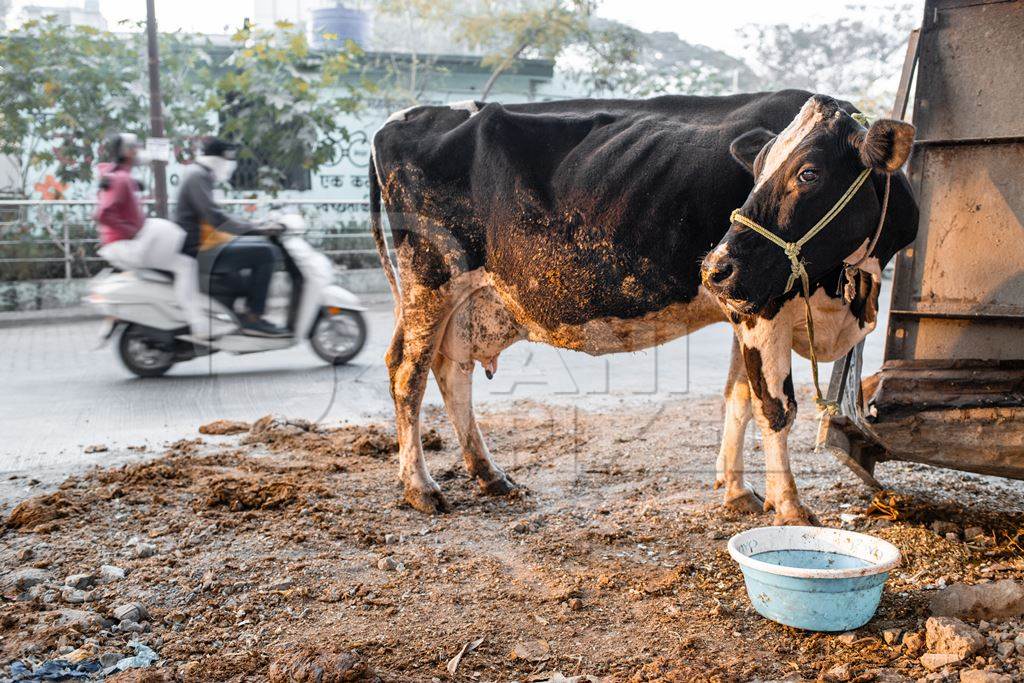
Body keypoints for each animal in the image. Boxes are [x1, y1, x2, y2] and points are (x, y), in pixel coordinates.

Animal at [370, 90, 921, 528]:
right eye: (757, 173)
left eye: (808, 173)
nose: (715, 267)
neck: (848, 294)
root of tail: (402, 117)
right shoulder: (762, 307)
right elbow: (775, 408)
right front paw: (789, 507)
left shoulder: (744, 305)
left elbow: (737, 397)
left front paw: (736, 491)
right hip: (429, 279)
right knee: (406, 373)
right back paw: (420, 487)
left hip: (471, 302)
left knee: (451, 370)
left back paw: (490, 475)